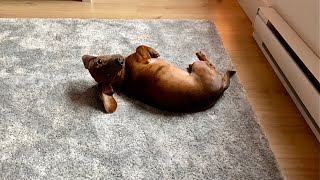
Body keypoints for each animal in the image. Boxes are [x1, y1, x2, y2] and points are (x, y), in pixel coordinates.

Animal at [82, 45, 235, 112]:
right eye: (108, 76)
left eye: (99, 61)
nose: (119, 61)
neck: (124, 75)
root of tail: (220, 90)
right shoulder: (143, 58)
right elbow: (140, 47)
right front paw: (154, 52)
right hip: (201, 67)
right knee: (211, 65)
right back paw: (202, 57)